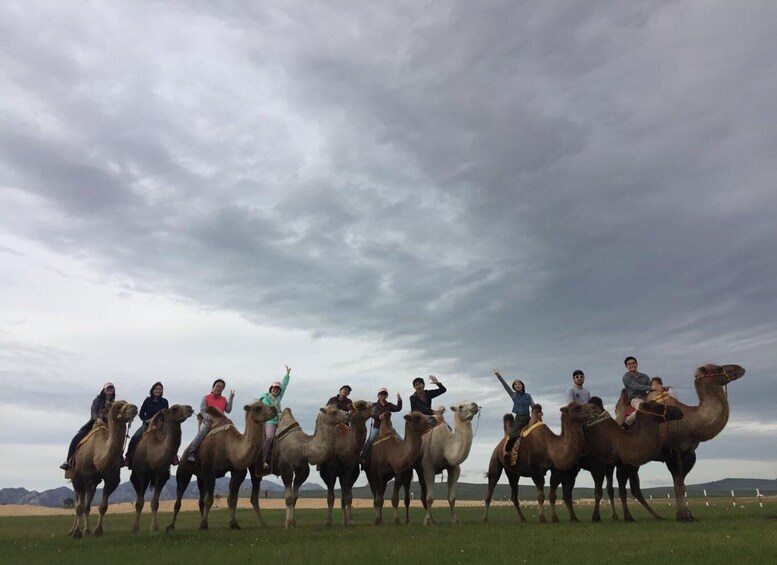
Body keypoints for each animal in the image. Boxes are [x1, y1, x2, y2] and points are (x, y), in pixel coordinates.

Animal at [67, 398, 139, 536]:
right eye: (118, 406)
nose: (135, 407)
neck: (96, 456)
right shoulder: (78, 478)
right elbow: (79, 507)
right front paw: (76, 533)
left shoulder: (112, 479)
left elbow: (102, 507)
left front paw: (97, 531)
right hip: (75, 478)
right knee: (77, 503)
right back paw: (72, 530)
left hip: (92, 483)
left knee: (88, 506)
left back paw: (87, 531)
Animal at [128, 404, 193, 532]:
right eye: (174, 408)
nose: (189, 408)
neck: (153, 453)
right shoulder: (139, 475)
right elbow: (139, 503)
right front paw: (135, 528)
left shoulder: (162, 476)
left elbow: (155, 503)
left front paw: (154, 528)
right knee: (140, 497)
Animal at [168, 400, 278, 528]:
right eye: (258, 407)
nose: (274, 409)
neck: (229, 447)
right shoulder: (208, 470)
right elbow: (209, 500)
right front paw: (203, 525)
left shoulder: (238, 471)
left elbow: (232, 499)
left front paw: (233, 524)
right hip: (183, 469)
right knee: (179, 498)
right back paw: (171, 526)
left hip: (199, 476)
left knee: (200, 500)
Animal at [316, 398, 376, 528]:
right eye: (361, 406)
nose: (377, 406)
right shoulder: (329, 472)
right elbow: (330, 497)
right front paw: (329, 522)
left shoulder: (348, 470)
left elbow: (348, 497)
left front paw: (350, 521)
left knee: (344, 496)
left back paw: (345, 521)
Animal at [616, 362, 744, 520]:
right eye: (719, 368)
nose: (740, 368)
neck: (691, 422)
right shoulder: (672, 452)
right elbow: (678, 485)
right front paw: (684, 517)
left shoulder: (689, 454)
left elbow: (681, 483)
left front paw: (686, 514)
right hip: (623, 459)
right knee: (622, 483)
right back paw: (628, 517)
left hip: (635, 461)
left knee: (634, 487)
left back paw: (657, 516)